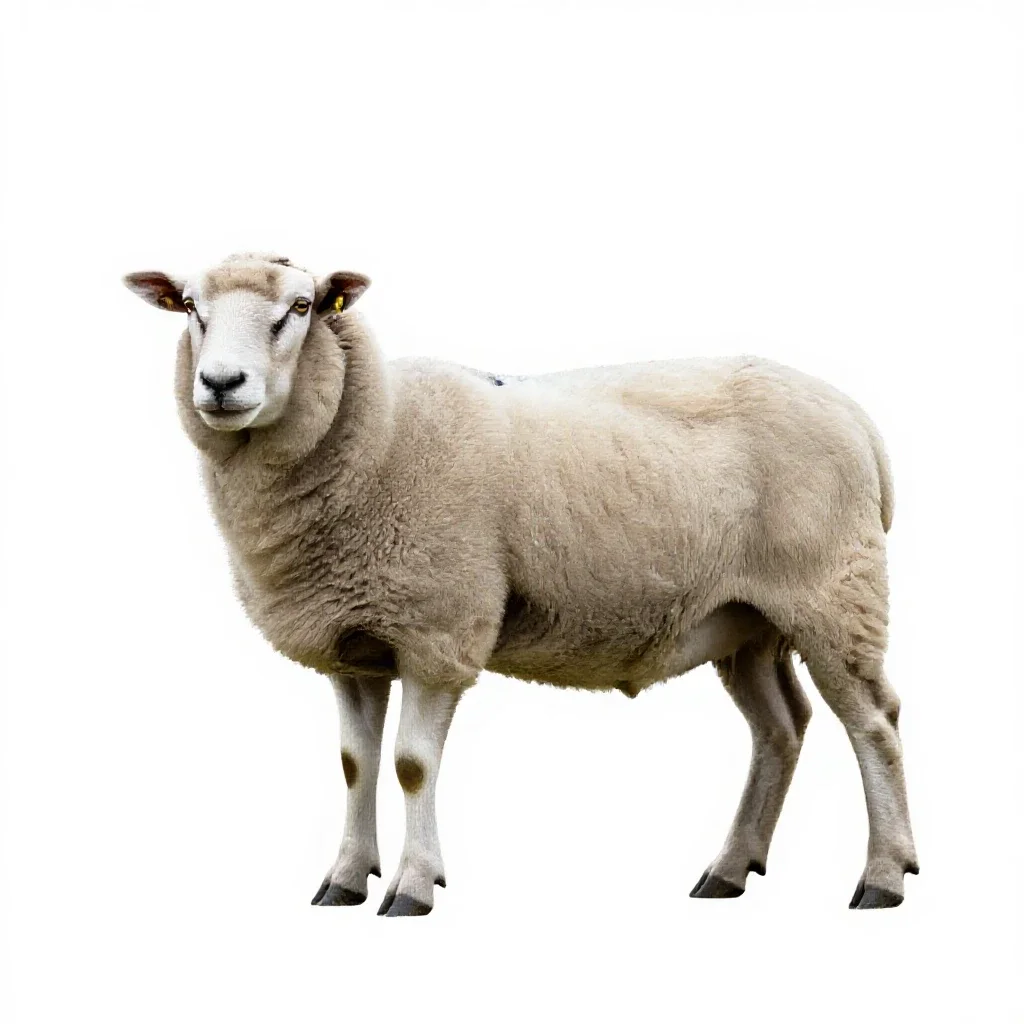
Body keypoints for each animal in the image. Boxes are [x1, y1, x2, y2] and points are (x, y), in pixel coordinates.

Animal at [123, 251, 918, 916]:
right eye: (190, 306)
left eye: (301, 306)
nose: (221, 384)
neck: (379, 432)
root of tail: (857, 418)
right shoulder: (352, 643)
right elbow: (355, 765)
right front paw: (345, 879)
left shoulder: (439, 627)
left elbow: (410, 766)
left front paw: (413, 886)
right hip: (745, 617)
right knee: (781, 727)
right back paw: (728, 869)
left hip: (833, 590)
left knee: (873, 722)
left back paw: (883, 875)